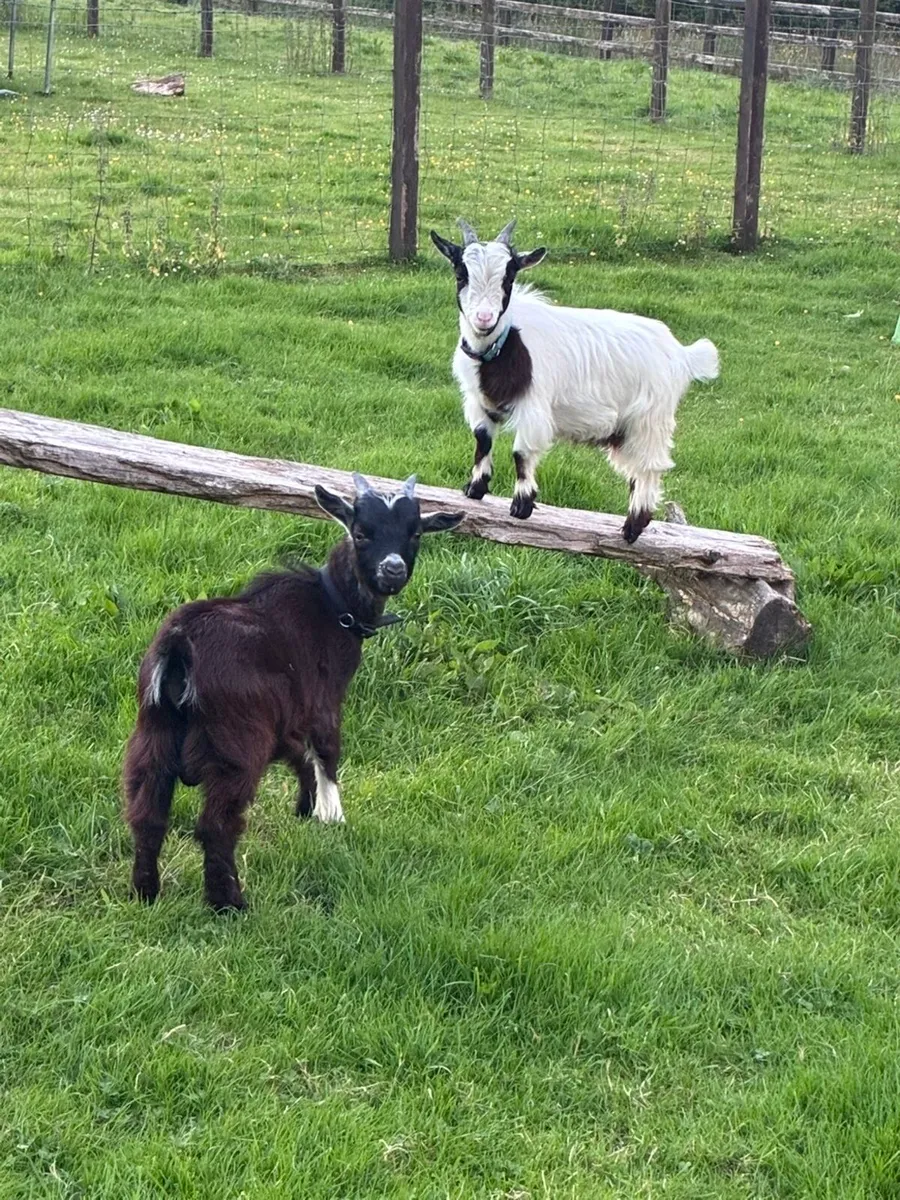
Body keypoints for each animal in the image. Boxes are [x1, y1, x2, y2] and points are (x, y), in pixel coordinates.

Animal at [123, 474, 463, 912]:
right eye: (361, 532)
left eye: (415, 532)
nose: (393, 569)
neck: (333, 606)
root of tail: (180, 647)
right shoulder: (323, 701)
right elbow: (327, 754)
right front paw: (332, 816)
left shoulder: (285, 716)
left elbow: (299, 754)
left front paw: (306, 806)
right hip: (236, 744)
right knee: (216, 825)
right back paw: (228, 903)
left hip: (153, 735)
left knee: (146, 813)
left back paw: (145, 892)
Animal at [430, 219, 719, 543]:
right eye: (460, 273)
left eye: (509, 277)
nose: (484, 318)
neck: (501, 348)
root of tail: (683, 355)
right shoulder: (478, 400)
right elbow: (482, 439)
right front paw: (475, 489)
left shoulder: (534, 405)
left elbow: (521, 452)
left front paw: (521, 505)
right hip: (624, 430)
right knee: (636, 469)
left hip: (651, 418)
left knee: (651, 466)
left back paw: (633, 526)